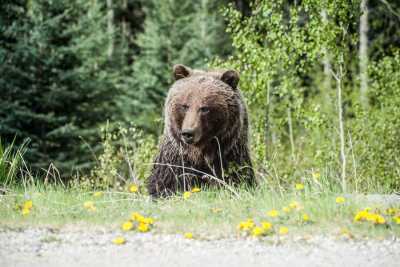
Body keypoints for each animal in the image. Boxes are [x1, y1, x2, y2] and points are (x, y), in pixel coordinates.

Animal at [146, 63, 253, 198]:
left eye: (204, 108)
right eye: (185, 106)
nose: (188, 133)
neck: (200, 154)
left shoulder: (230, 158)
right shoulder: (174, 163)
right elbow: (164, 186)